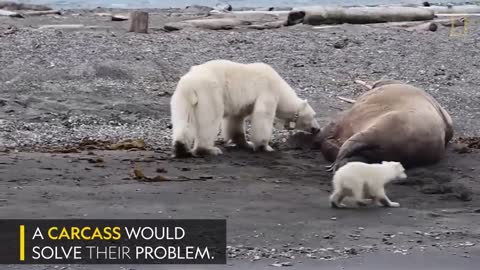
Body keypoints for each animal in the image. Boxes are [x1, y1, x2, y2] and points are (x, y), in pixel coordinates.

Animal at [171, 59, 320, 158]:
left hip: (181, 97)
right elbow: (263, 115)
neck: (280, 87)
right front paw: (265, 146)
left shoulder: (241, 103)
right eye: (314, 115)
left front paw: (245, 143)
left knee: (184, 119)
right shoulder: (268, 90)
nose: (317, 129)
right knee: (210, 119)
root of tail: (190, 84)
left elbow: (235, 119)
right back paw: (209, 149)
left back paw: (181, 148)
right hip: (209, 92)